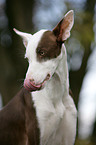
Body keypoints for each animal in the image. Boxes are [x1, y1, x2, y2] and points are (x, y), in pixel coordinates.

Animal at [0, 10, 77, 145]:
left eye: (42, 52)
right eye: (27, 59)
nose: (27, 82)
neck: (56, 94)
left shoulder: (67, 138)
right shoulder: (35, 135)